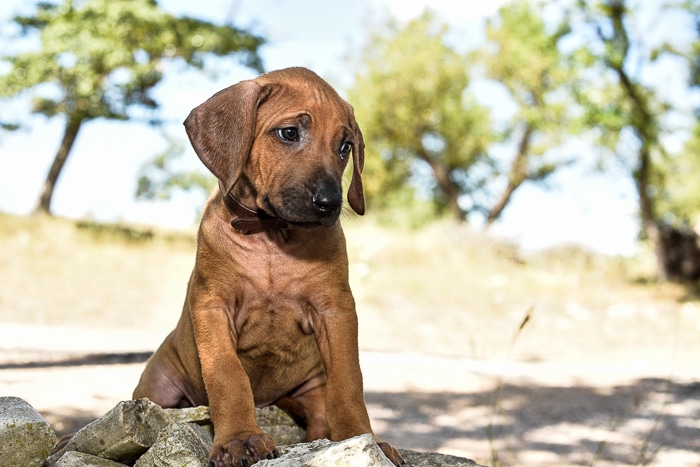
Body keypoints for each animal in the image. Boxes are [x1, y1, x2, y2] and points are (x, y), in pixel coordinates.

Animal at [133, 66, 404, 467]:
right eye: (289, 133)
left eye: (345, 147)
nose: (329, 203)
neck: (271, 236)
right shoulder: (211, 306)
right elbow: (228, 375)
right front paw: (239, 439)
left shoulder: (336, 309)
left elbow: (348, 381)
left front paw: (362, 437)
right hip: (156, 390)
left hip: (308, 390)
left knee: (321, 414)